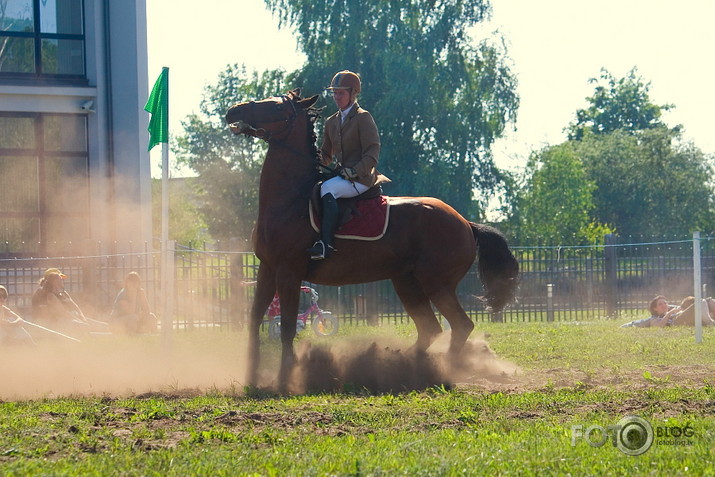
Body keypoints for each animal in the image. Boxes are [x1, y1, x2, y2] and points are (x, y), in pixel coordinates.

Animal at [227, 88, 516, 386]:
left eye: (275, 108)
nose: (233, 111)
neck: (291, 199)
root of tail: (465, 223)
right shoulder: (267, 269)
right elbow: (254, 320)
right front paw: (251, 375)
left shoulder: (289, 272)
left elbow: (286, 327)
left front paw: (284, 378)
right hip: (407, 282)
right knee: (430, 328)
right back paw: (404, 364)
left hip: (436, 284)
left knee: (460, 325)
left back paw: (441, 369)